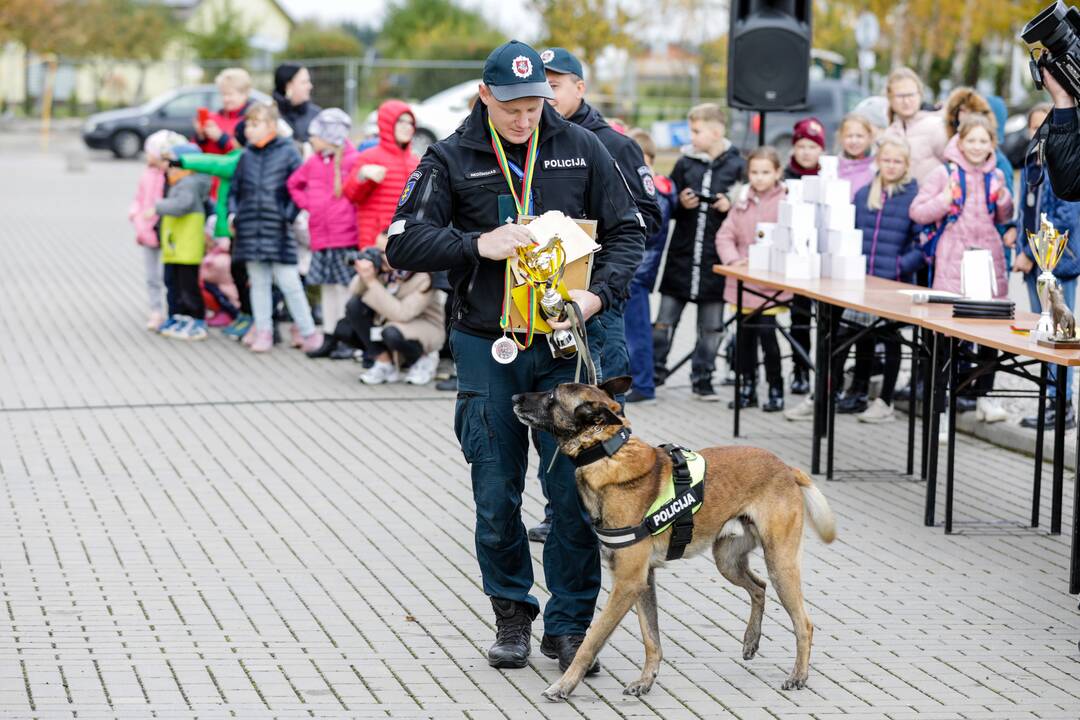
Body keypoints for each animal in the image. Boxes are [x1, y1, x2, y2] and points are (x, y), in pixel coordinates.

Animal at [511, 375, 833, 699]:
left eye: (552, 395)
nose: (514, 397)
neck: (608, 453)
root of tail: (786, 467)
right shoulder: (643, 581)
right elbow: (651, 638)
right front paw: (646, 680)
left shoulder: (627, 582)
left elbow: (592, 640)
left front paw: (564, 685)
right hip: (727, 560)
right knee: (759, 587)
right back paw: (751, 640)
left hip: (780, 563)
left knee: (804, 623)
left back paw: (798, 675)